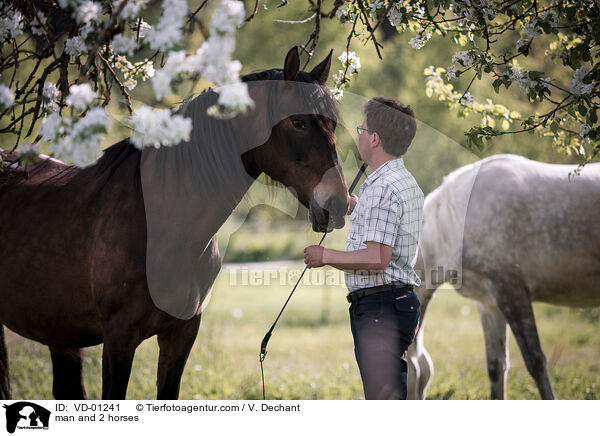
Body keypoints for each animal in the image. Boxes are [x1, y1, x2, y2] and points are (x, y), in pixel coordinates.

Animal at [0, 46, 346, 398]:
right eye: (299, 122)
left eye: (333, 124)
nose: (340, 203)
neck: (165, 223)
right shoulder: (118, 338)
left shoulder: (182, 332)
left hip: (60, 333)